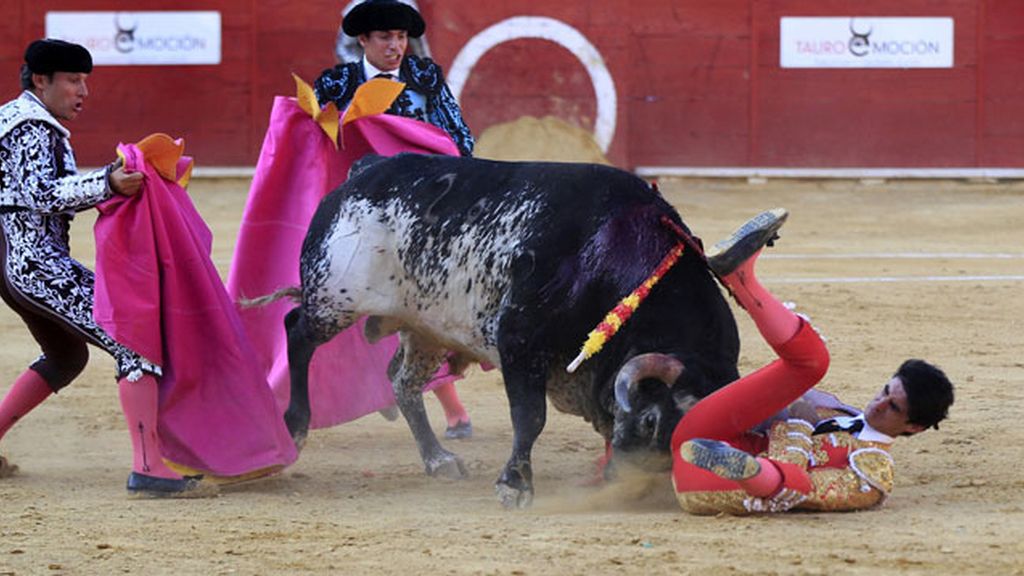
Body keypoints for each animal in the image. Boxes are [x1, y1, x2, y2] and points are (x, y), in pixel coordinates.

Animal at [282, 152, 745, 506]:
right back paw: (295, 426)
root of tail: (365, 169)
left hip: (425, 328)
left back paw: (438, 459)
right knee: (297, 333)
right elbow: (530, 416)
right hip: (334, 297)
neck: (612, 252)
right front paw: (515, 484)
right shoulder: (519, 339)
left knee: (401, 381)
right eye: (650, 421)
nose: (625, 481)